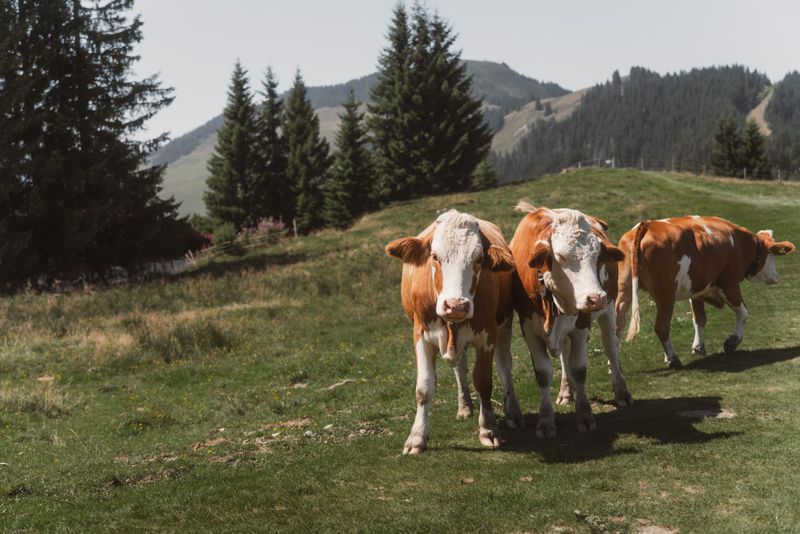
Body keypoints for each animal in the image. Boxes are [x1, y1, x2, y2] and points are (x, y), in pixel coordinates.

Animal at [385, 209, 523, 454]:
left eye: (479, 260)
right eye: (434, 256)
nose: (456, 305)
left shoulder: (487, 336)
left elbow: (484, 382)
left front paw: (489, 429)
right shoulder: (420, 335)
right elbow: (424, 388)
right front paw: (416, 437)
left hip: (505, 322)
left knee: (504, 364)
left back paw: (512, 411)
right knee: (461, 367)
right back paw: (465, 406)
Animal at [510, 202, 628, 439]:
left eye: (598, 256)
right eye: (562, 256)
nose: (596, 298)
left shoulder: (582, 324)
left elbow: (579, 369)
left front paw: (584, 415)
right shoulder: (528, 328)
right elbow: (543, 374)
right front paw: (546, 420)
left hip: (609, 309)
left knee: (611, 347)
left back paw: (621, 391)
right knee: (565, 354)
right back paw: (566, 391)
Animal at [616, 216, 796, 368]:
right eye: (773, 256)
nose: (777, 276)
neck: (741, 244)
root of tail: (647, 225)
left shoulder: (696, 289)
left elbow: (699, 318)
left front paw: (698, 346)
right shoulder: (729, 284)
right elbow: (743, 313)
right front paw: (732, 341)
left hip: (623, 291)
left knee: (616, 328)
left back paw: (615, 367)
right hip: (666, 295)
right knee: (661, 327)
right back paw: (672, 358)